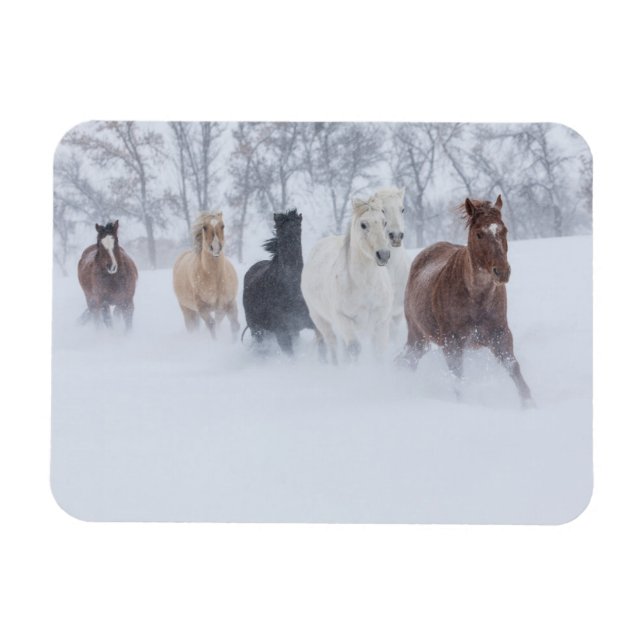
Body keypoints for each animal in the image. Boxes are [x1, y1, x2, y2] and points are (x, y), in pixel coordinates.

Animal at [172, 211, 240, 339]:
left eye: (223, 226)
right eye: (204, 227)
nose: (216, 247)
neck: (215, 279)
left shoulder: (228, 304)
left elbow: (234, 325)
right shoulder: (202, 308)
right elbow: (211, 325)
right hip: (187, 309)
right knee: (192, 327)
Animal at [301, 195, 393, 363]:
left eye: (384, 222)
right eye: (363, 224)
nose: (383, 255)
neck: (364, 285)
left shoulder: (381, 322)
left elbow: (379, 353)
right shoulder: (343, 319)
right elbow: (354, 349)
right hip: (321, 320)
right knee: (332, 345)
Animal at [399, 195, 533, 406]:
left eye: (504, 230)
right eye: (479, 234)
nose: (502, 271)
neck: (476, 299)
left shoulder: (500, 334)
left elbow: (513, 368)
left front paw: (529, 404)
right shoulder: (452, 343)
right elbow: (457, 379)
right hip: (418, 335)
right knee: (406, 361)